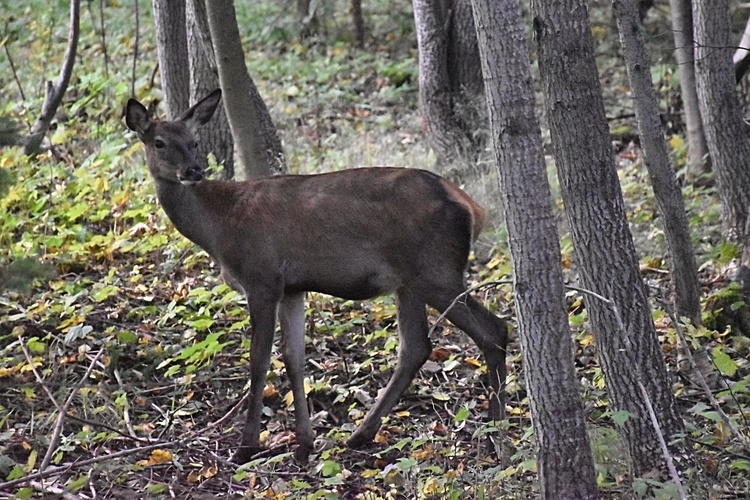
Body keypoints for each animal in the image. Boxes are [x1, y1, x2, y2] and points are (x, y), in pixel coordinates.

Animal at [125, 89, 512, 464]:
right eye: (159, 142)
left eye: (192, 141)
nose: (193, 170)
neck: (219, 229)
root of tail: (472, 208)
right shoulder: (292, 288)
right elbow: (294, 359)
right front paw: (304, 444)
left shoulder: (261, 278)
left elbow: (259, 360)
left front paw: (246, 446)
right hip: (409, 282)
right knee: (416, 346)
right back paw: (361, 434)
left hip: (436, 271)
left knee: (493, 331)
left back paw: (497, 436)